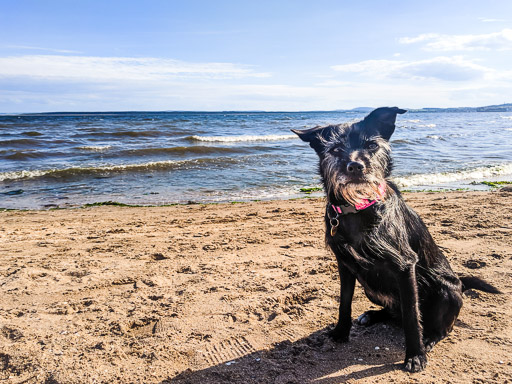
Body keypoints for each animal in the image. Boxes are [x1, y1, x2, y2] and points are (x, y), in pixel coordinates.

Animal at [294, 107, 498, 372]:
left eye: (371, 145)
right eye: (336, 149)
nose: (356, 166)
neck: (358, 209)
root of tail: (460, 283)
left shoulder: (404, 266)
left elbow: (412, 315)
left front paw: (415, 355)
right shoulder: (345, 265)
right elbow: (344, 302)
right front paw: (340, 333)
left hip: (445, 291)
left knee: (438, 327)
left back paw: (428, 339)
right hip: (371, 288)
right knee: (394, 314)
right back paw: (372, 315)